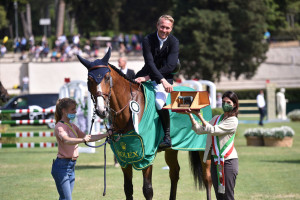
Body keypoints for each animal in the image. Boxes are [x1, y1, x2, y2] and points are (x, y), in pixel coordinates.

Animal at [77, 48, 213, 200]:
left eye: (107, 77)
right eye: (89, 80)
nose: (101, 110)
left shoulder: (146, 155)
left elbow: (147, 189)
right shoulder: (124, 157)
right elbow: (128, 188)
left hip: (203, 147)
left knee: (207, 177)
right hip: (172, 150)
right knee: (174, 173)